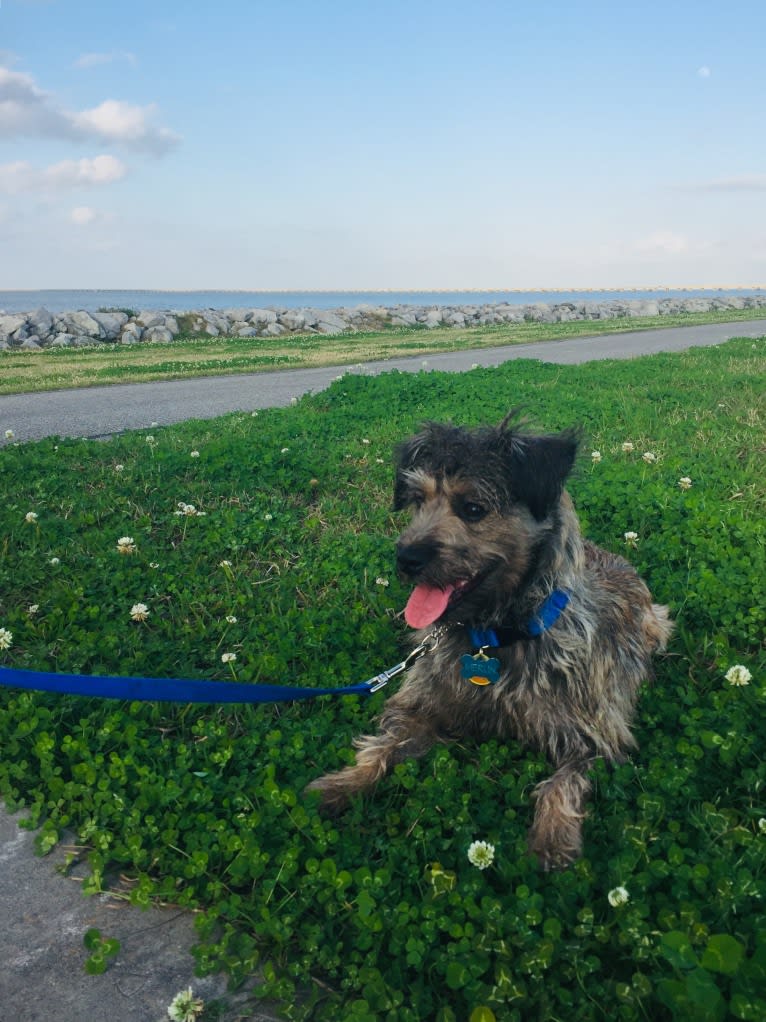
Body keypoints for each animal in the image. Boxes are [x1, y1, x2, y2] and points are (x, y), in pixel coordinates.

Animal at [308, 414, 674, 870]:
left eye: (473, 508)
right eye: (417, 501)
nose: (405, 558)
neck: (493, 636)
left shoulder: (596, 733)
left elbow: (563, 783)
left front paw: (552, 836)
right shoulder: (422, 707)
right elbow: (382, 745)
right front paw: (345, 782)